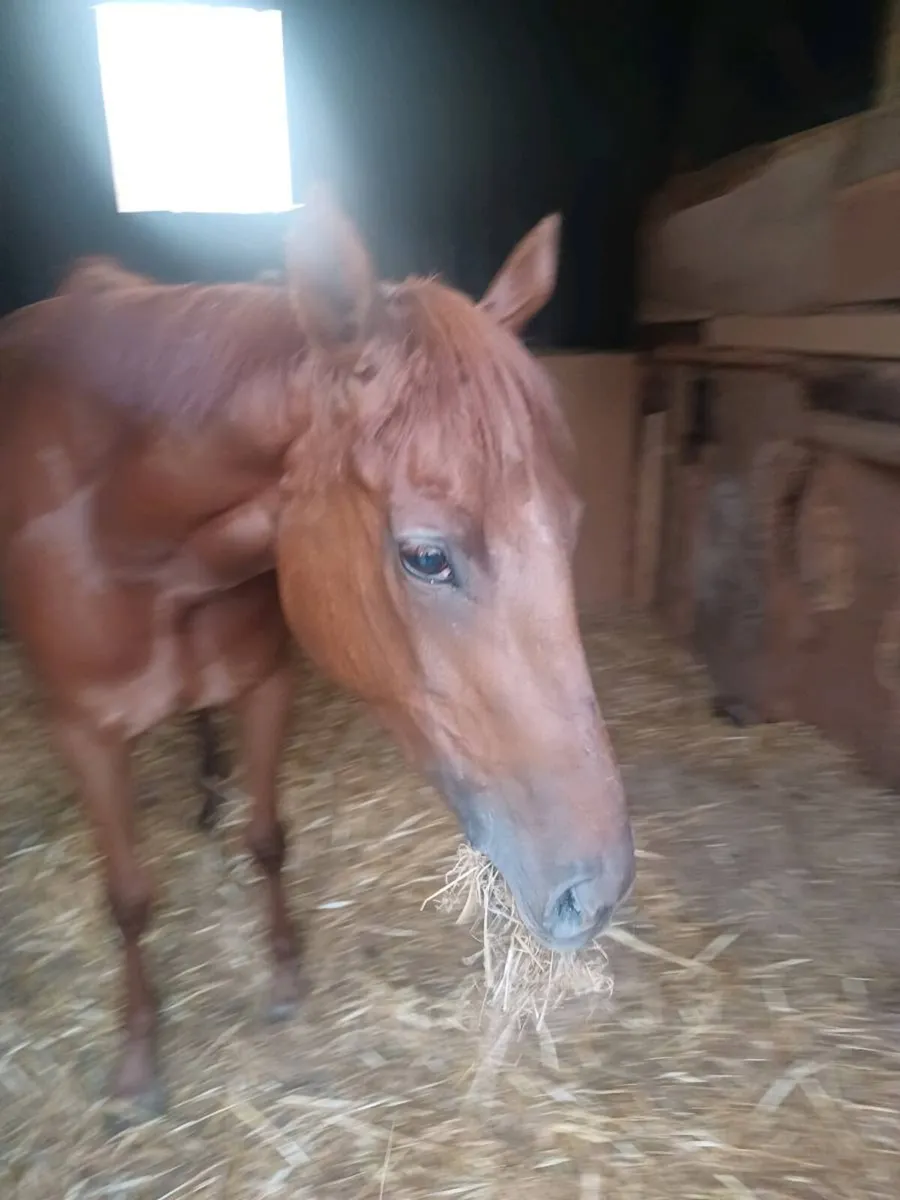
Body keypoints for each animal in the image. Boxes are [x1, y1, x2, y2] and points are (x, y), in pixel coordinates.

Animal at [0, 192, 634, 1114]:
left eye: (573, 525)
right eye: (426, 556)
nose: (598, 893)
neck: (122, 523)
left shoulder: (267, 684)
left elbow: (268, 839)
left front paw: (284, 973)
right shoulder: (84, 736)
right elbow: (128, 899)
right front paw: (139, 1058)